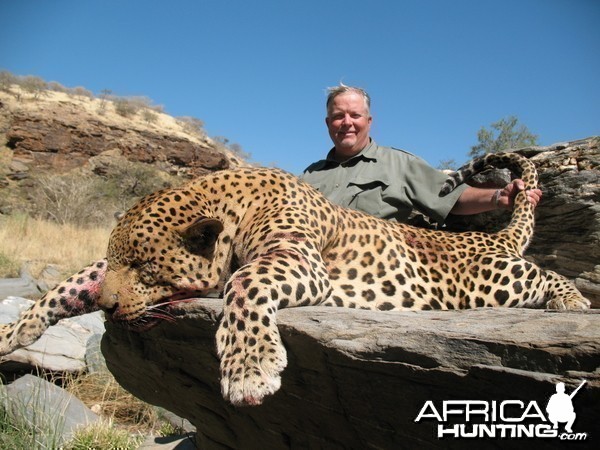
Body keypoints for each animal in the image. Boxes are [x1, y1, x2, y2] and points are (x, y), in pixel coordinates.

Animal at [0, 150, 592, 404]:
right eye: (124, 263)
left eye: (147, 268)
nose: (108, 308)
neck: (232, 202)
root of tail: (488, 238)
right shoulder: (99, 273)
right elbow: (72, 282)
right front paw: (13, 332)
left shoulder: (296, 259)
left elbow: (243, 285)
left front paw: (248, 371)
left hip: (495, 278)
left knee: (545, 275)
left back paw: (572, 303)